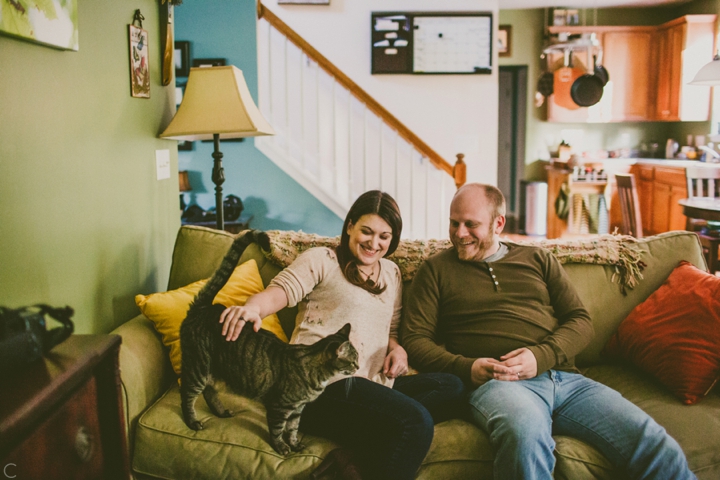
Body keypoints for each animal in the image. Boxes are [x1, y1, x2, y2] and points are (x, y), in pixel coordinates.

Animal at [180, 231, 360, 456]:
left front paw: (294, 443)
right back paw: (192, 421)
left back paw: (220, 412)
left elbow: (293, 429)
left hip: (213, 370)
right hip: (198, 367)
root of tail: (205, 308)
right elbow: (277, 430)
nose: (358, 367)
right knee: (187, 395)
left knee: (209, 391)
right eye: (353, 361)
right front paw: (282, 447)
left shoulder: (297, 410)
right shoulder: (279, 407)